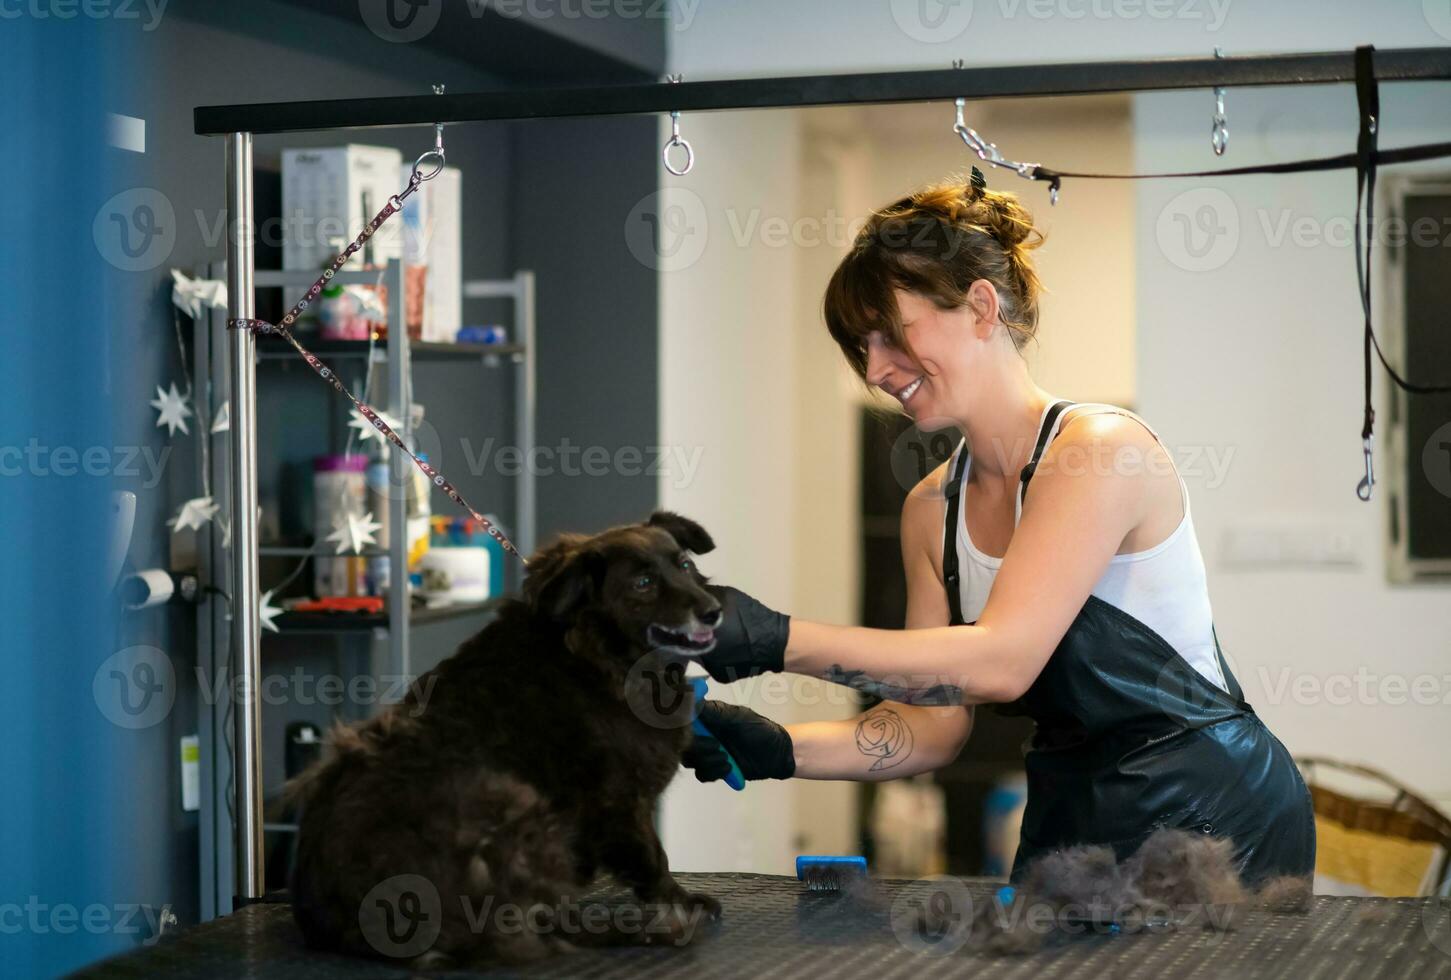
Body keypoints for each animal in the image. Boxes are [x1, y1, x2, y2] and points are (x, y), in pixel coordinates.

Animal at [287, 513, 725, 964]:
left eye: (685, 565)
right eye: (643, 583)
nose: (714, 612)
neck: (597, 655)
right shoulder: (618, 800)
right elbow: (654, 857)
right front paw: (681, 902)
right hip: (510, 796)